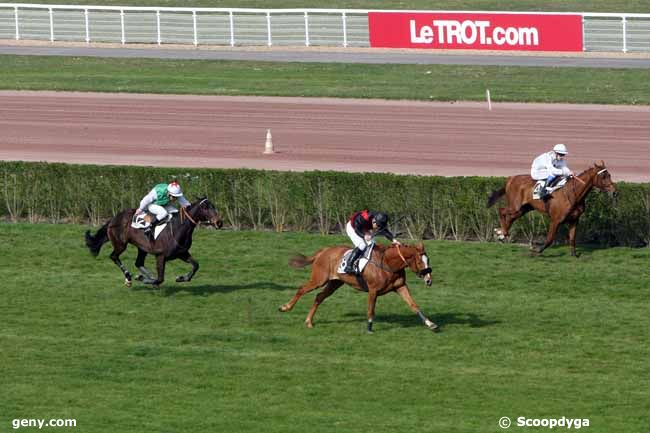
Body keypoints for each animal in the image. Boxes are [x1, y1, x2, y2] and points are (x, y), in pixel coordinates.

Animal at [85, 198, 221, 286]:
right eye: (205, 208)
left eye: (213, 206)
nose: (219, 222)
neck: (178, 227)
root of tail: (113, 219)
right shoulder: (160, 256)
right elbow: (160, 279)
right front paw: (144, 279)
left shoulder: (182, 253)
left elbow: (196, 265)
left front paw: (182, 277)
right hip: (120, 244)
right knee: (114, 256)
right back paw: (129, 277)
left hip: (142, 248)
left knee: (138, 263)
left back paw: (145, 275)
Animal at [278, 243, 436, 330]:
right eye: (420, 262)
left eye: (428, 260)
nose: (429, 280)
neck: (388, 263)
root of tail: (324, 251)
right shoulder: (373, 291)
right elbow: (370, 310)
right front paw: (369, 329)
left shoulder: (400, 287)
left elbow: (413, 305)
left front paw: (430, 324)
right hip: (319, 279)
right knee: (302, 289)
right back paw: (285, 307)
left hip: (335, 282)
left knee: (319, 297)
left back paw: (309, 321)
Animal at [486, 161, 616, 255]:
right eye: (603, 176)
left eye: (609, 175)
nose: (614, 192)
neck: (573, 194)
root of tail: (510, 178)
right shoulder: (555, 220)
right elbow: (549, 239)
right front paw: (536, 250)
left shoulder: (574, 220)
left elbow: (572, 238)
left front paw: (574, 254)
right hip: (515, 206)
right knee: (501, 210)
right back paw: (502, 232)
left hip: (523, 209)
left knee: (510, 217)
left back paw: (502, 234)